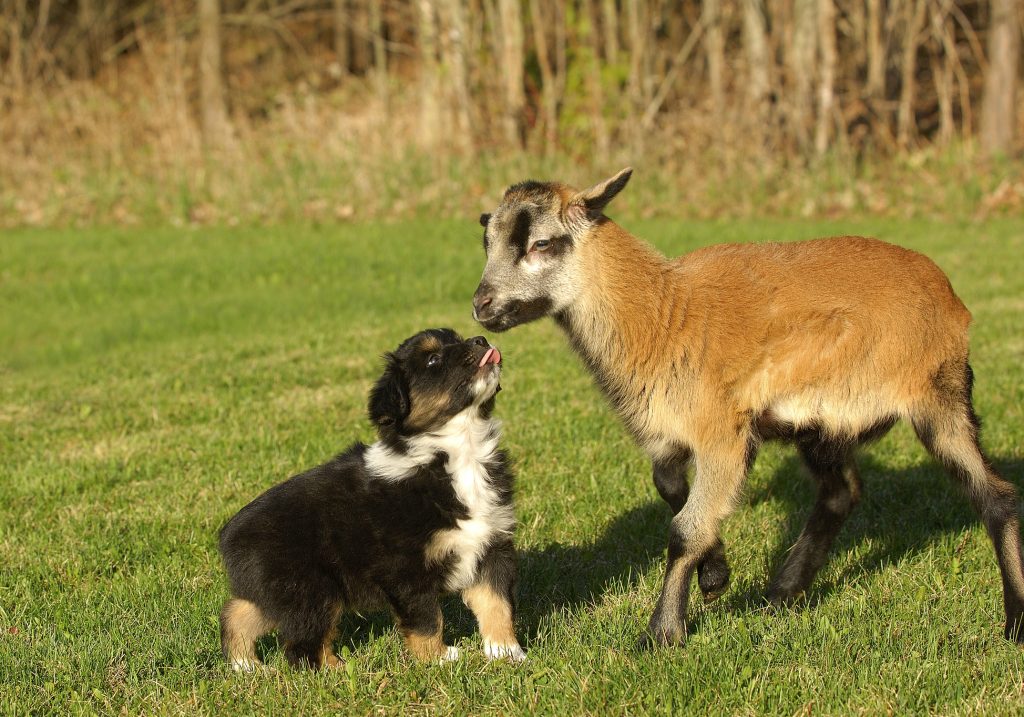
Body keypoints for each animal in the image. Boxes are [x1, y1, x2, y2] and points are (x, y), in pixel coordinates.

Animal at [215, 327, 520, 667]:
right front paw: (438, 659)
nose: (481, 340)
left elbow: (497, 604)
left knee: (238, 613)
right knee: (303, 646)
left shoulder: (490, 546)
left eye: (459, 337)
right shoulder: (405, 568)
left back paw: (246, 665)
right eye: (432, 359)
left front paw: (507, 652)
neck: (458, 450)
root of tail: (229, 535)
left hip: (277, 591)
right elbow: (427, 618)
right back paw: (337, 670)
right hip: (312, 589)